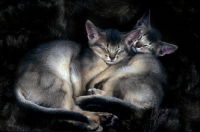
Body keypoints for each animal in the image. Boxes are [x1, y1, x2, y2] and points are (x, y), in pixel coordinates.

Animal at [13, 20, 141, 130]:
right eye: (104, 47)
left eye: (120, 50)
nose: (112, 57)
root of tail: (17, 82)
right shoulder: (76, 68)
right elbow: (79, 89)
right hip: (61, 86)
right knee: (67, 112)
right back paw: (93, 122)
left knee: (69, 111)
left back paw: (103, 117)